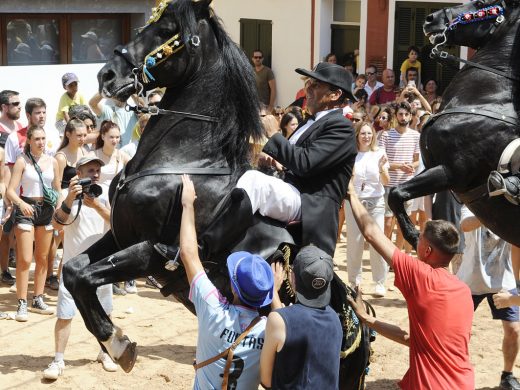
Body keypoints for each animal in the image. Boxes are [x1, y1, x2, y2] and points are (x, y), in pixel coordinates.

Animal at [388, 0, 520, 248]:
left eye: (482, 3)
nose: (430, 19)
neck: (487, 98)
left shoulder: (451, 171)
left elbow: (396, 193)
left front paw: (415, 237)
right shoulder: (433, 166)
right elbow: (397, 194)